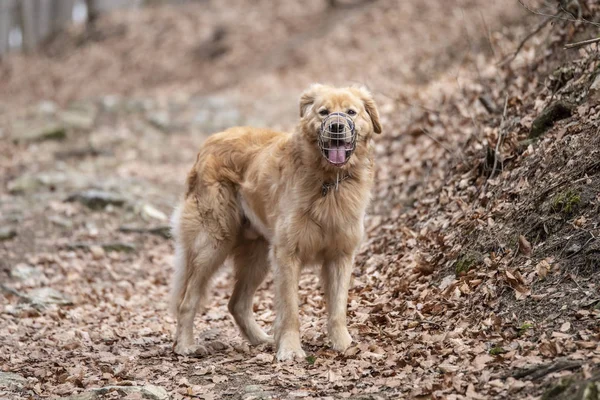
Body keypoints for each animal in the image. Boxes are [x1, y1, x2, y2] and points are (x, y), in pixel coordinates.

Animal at [171, 83, 382, 360]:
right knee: (188, 300)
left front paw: (343, 344)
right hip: (213, 244)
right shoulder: (287, 254)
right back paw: (186, 345)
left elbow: (338, 308)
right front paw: (291, 350)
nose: (337, 127)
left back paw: (261, 339)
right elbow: (290, 309)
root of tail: (207, 144)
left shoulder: (340, 255)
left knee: (236, 303)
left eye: (351, 112)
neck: (329, 181)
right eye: (323, 112)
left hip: (257, 257)